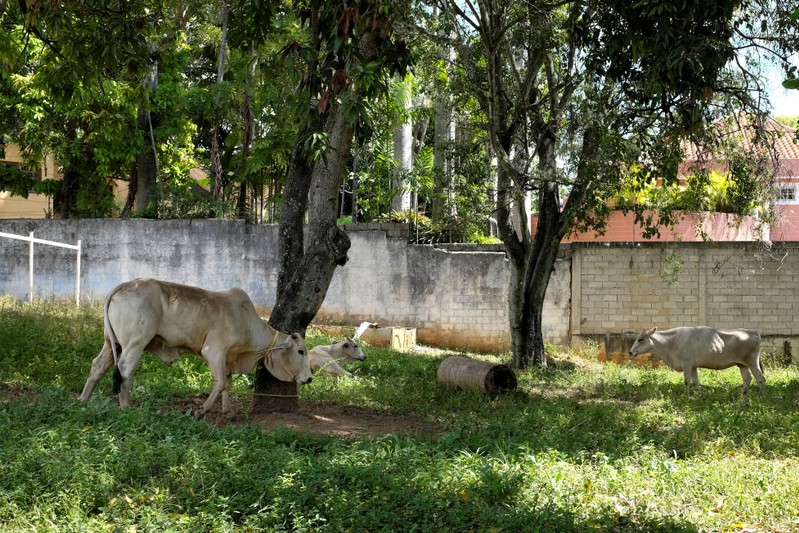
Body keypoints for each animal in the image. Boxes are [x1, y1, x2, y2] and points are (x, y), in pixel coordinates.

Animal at [77, 276, 310, 418]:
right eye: (300, 351)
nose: (309, 378)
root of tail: (124, 285)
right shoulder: (214, 352)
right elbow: (220, 383)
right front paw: (201, 411)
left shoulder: (228, 358)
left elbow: (227, 382)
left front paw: (228, 412)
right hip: (135, 343)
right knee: (125, 370)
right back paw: (126, 407)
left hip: (111, 343)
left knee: (97, 366)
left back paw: (83, 401)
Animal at [628, 324, 764, 394]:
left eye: (640, 339)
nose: (630, 351)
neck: (671, 342)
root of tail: (752, 332)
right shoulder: (693, 365)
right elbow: (696, 382)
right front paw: (699, 396)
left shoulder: (686, 363)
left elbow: (687, 381)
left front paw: (687, 397)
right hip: (742, 364)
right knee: (747, 379)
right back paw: (742, 398)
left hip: (752, 362)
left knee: (760, 378)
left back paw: (761, 397)